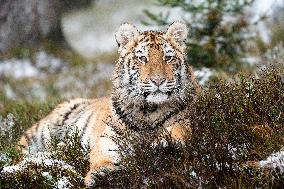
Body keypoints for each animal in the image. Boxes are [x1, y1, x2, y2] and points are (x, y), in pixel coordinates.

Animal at [18, 21, 200, 186]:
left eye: (168, 58)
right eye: (142, 58)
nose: (158, 80)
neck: (148, 111)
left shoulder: (183, 120)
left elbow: (177, 132)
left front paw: (165, 144)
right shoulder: (109, 137)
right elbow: (102, 155)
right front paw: (100, 173)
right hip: (43, 131)